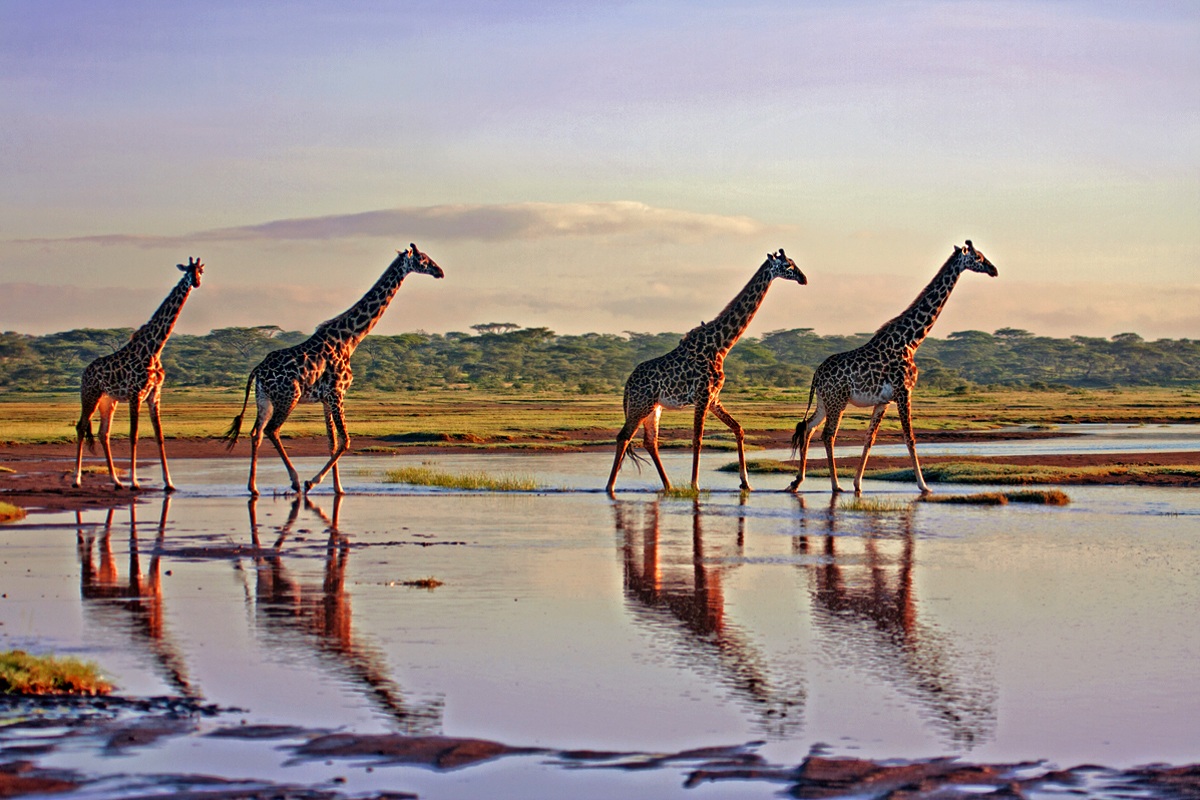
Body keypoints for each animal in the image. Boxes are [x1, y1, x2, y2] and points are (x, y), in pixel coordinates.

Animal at [73, 258, 204, 491]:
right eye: (188, 271)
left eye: (200, 271)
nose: (196, 282)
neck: (154, 349)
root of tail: (85, 372)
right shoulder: (136, 394)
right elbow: (133, 436)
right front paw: (134, 482)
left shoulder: (154, 395)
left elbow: (160, 435)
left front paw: (169, 483)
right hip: (90, 395)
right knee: (81, 427)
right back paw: (77, 480)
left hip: (108, 400)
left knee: (103, 433)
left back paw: (116, 481)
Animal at [224, 244, 443, 496]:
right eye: (423, 259)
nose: (440, 271)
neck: (350, 338)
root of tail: (257, 371)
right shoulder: (337, 393)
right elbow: (346, 440)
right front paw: (312, 482)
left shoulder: (326, 398)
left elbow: (332, 441)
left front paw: (338, 488)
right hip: (289, 396)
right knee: (272, 430)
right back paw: (295, 481)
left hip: (264, 399)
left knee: (256, 433)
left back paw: (253, 487)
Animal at [606, 250, 807, 495]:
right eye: (788, 266)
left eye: (793, 263)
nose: (804, 279)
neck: (721, 345)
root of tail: (628, 384)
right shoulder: (702, 396)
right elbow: (698, 439)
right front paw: (695, 485)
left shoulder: (713, 398)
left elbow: (739, 429)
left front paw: (745, 482)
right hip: (639, 405)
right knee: (623, 437)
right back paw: (610, 487)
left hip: (654, 407)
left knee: (650, 442)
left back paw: (668, 485)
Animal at [785, 240, 997, 496]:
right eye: (978, 257)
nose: (994, 270)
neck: (911, 341)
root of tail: (816, 374)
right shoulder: (904, 392)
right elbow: (910, 438)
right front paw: (924, 486)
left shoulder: (883, 401)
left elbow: (870, 439)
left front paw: (858, 483)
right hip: (838, 401)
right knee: (828, 435)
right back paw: (835, 485)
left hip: (824, 401)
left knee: (807, 428)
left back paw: (798, 481)